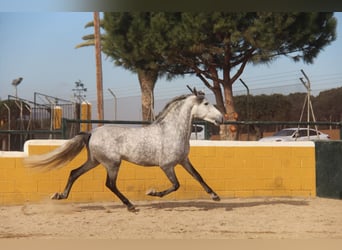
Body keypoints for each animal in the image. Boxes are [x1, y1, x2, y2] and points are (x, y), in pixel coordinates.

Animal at [26, 89, 224, 212]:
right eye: (206, 103)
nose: (221, 118)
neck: (171, 130)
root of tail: (92, 133)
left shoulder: (184, 160)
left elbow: (198, 176)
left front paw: (215, 196)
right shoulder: (167, 166)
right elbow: (176, 185)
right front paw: (152, 193)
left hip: (94, 161)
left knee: (74, 172)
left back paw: (60, 196)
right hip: (112, 163)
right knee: (110, 184)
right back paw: (130, 206)